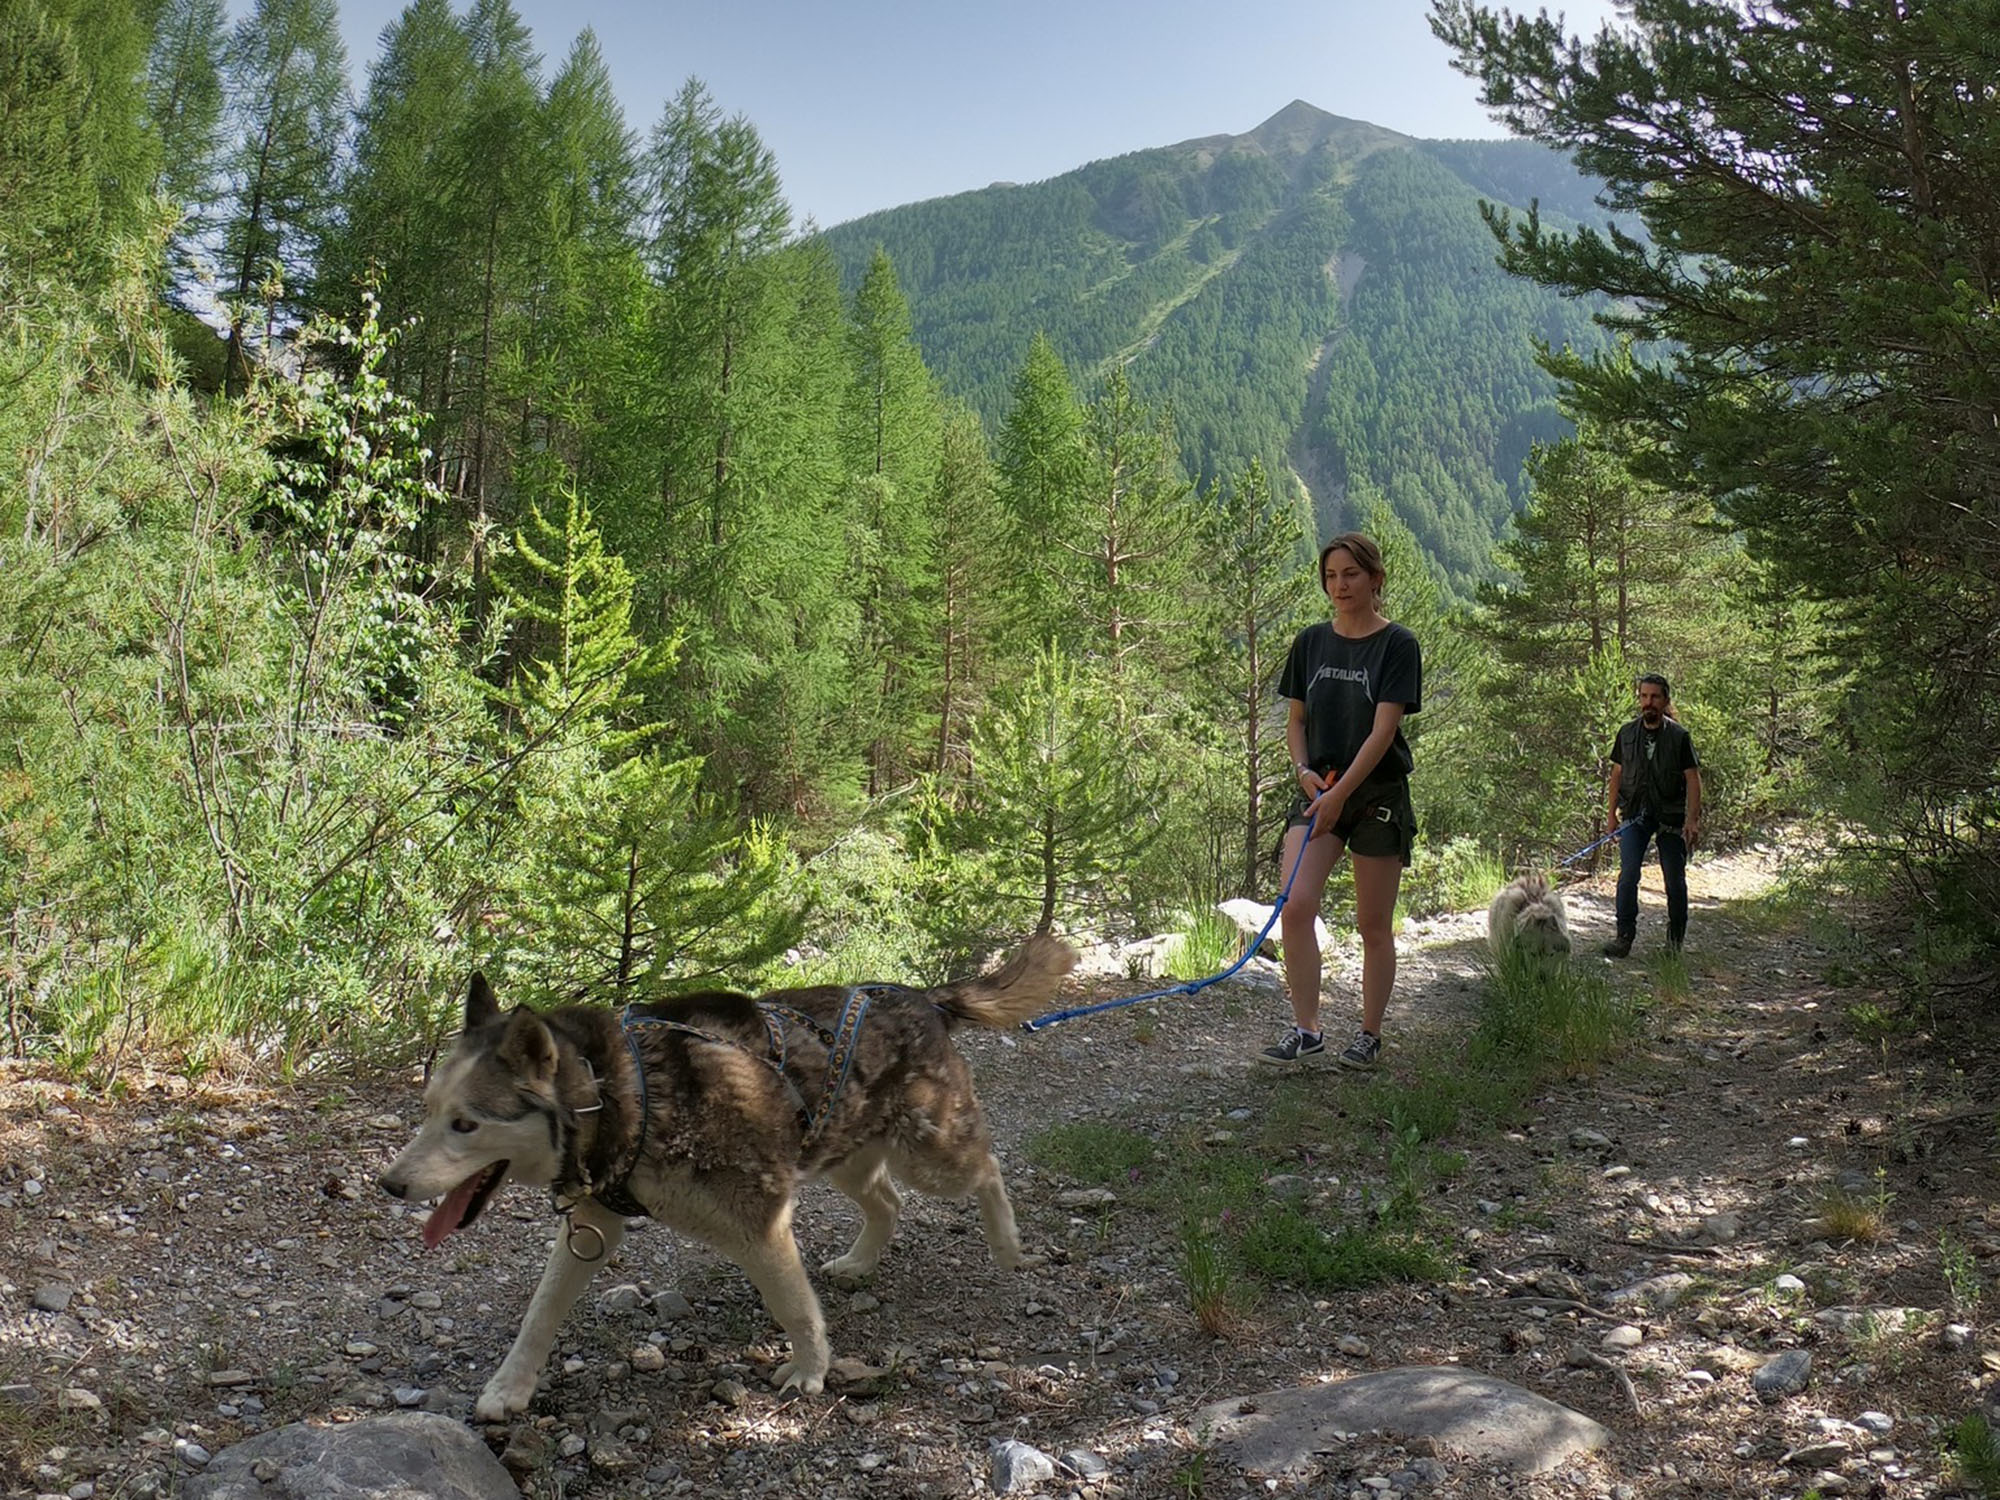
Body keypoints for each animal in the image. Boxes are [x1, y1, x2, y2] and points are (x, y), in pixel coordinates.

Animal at [380, 940, 1072, 1424]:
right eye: (427, 1110)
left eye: (465, 1124)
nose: (390, 1185)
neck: (616, 1093)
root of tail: (923, 996)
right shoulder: (593, 1227)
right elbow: (540, 1311)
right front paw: (509, 1387)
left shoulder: (759, 1226)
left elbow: (793, 1306)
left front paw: (810, 1372)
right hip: (845, 1153)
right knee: (887, 1202)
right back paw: (861, 1261)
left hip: (928, 1156)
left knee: (986, 1169)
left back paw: (1007, 1246)